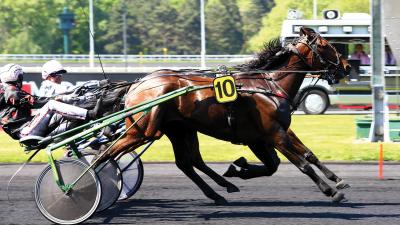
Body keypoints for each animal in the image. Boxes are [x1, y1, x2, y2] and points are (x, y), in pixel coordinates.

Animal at [99, 27, 350, 205]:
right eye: (325, 45)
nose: (347, 66)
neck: (268, 85)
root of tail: (136, 84)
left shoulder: (267, 135)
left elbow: (297, 158)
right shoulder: (273, 134)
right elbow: (300, 164)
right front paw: (330, 191)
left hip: (179, 129)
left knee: (187, 163)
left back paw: (219, 192)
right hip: (144, 129)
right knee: (107, 151)